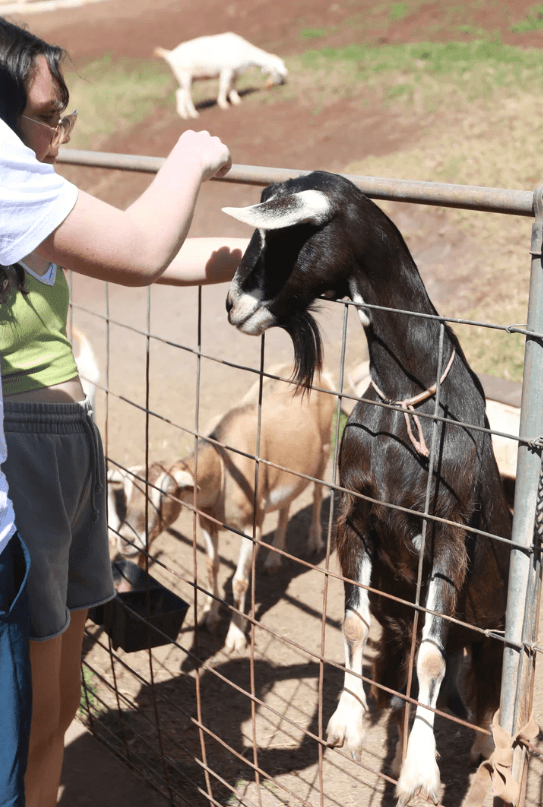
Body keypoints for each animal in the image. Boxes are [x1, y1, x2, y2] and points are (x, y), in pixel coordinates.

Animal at [107, 370, 336, 652]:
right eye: (127, 490)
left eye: (166, 493)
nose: (126, 540)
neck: (224, 467)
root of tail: (322, 375)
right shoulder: (207, 521)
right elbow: (211, 567)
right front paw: (210, 615)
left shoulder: (252, 525)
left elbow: (239, 582)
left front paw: (236, 636)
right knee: (286, 506)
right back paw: (273, 561)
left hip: (324, 452)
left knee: (316, 493)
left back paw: (314, 542)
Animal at [154, 33, 288, 119]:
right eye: (278, 72)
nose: (283, 83)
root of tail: (170, 54)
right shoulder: (226, 70)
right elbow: (223, 86)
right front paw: (223, 104)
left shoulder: (234, 72)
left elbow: (233, 85)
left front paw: (236, 100)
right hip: (184, 75)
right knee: (186, 94)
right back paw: (193, 113)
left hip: (189, 78)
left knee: (180, 92)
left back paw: (183, 114)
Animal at [223, 172, 512, 807]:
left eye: (282, 235)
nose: (232, 304)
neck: (408, 405)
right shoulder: (355, 517)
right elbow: (356, 625)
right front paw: (346, 723)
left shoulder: (447, 536)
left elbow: (433, 661)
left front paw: (422, 774)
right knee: (406, 670)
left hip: (493, 623)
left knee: (481, 683)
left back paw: (481, 747)